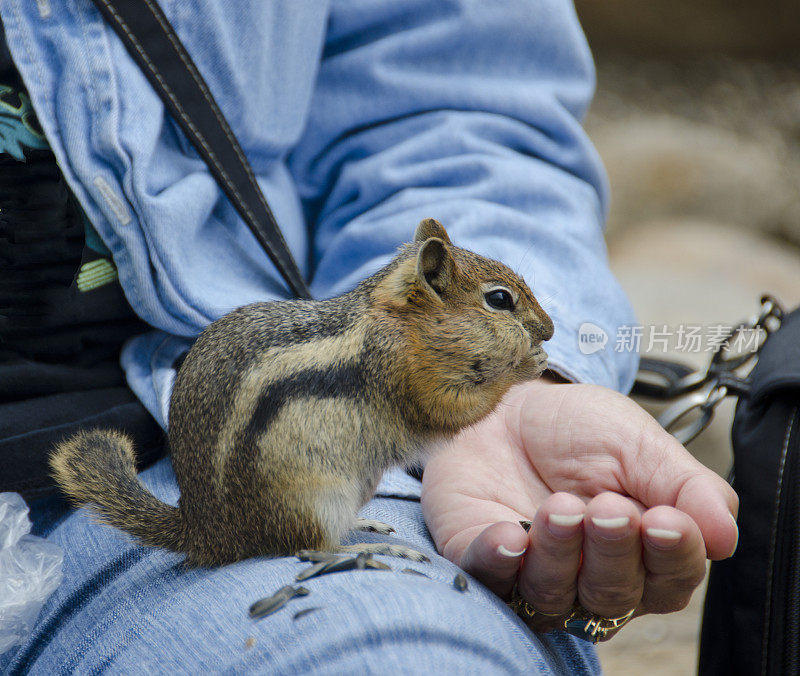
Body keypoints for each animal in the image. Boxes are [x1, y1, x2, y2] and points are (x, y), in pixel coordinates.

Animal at [48, 220, 552, 564]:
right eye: (500, 300)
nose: (549, 329)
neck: (397, 321)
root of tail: (207, 534)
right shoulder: (406, 377)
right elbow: (451, 410)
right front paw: (528, 364)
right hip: (311, 499)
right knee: (308, 549)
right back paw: (368, 548)